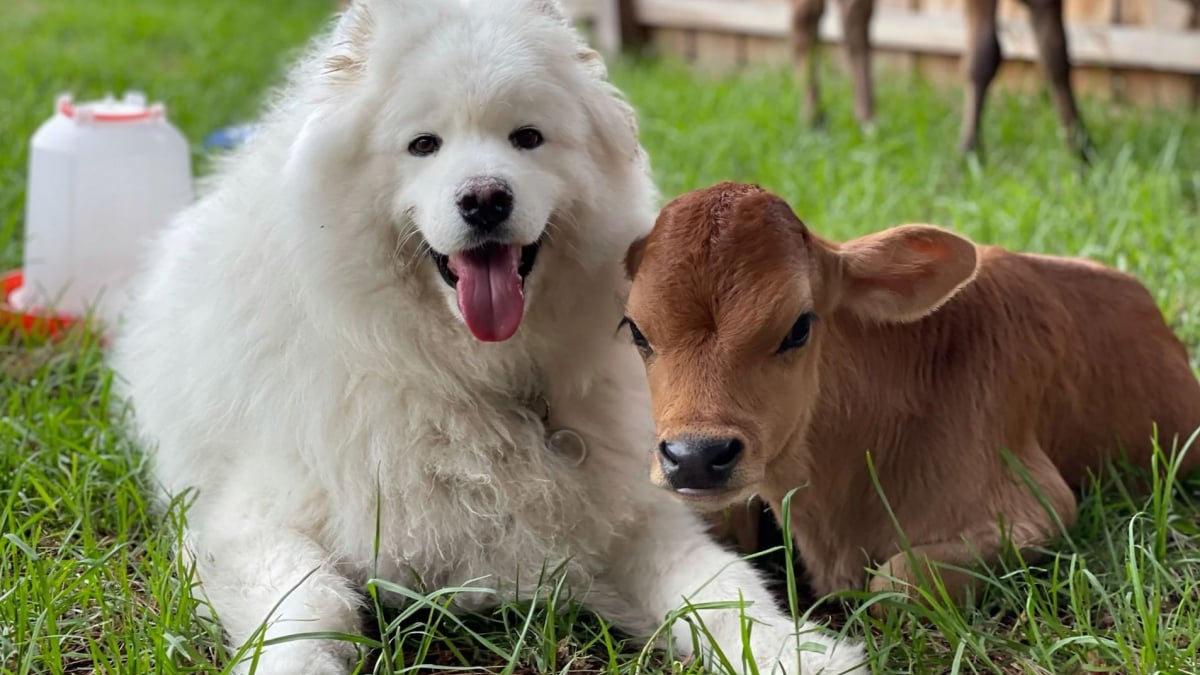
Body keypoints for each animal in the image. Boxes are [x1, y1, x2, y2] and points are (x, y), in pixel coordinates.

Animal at [110, 1, 864, 672]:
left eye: (526, 137)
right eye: (423, 145)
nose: (484, 198)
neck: (467, 378)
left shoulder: (631, 518)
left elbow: (723, 591)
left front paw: (800, 654)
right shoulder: (248, 523)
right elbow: (308, 609)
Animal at [796, 0, 1099, 156]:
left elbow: (1056, 53)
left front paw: (1081, 148)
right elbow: (985, 55)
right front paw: (968, 151)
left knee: (852, 17)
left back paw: (866, 121)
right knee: (805, 18)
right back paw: (815, 115)